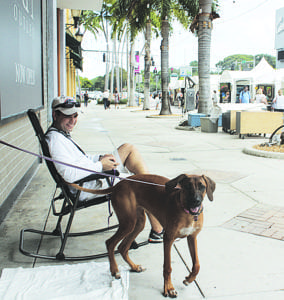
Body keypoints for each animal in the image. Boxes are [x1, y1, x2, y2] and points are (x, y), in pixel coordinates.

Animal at [69, 173, 215, 298]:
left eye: (202, 186)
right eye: (187, 187)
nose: (196, 201)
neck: (187, 212)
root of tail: (118, 184)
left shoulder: (192, 238)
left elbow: (197, 265)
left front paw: (189, 279)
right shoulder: (168, 239)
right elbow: (167, 267)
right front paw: (169, 288)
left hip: (138, 223)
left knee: (122, 247)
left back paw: (134, 267)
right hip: (128, 222)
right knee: (110, 243)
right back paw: (115, 270)